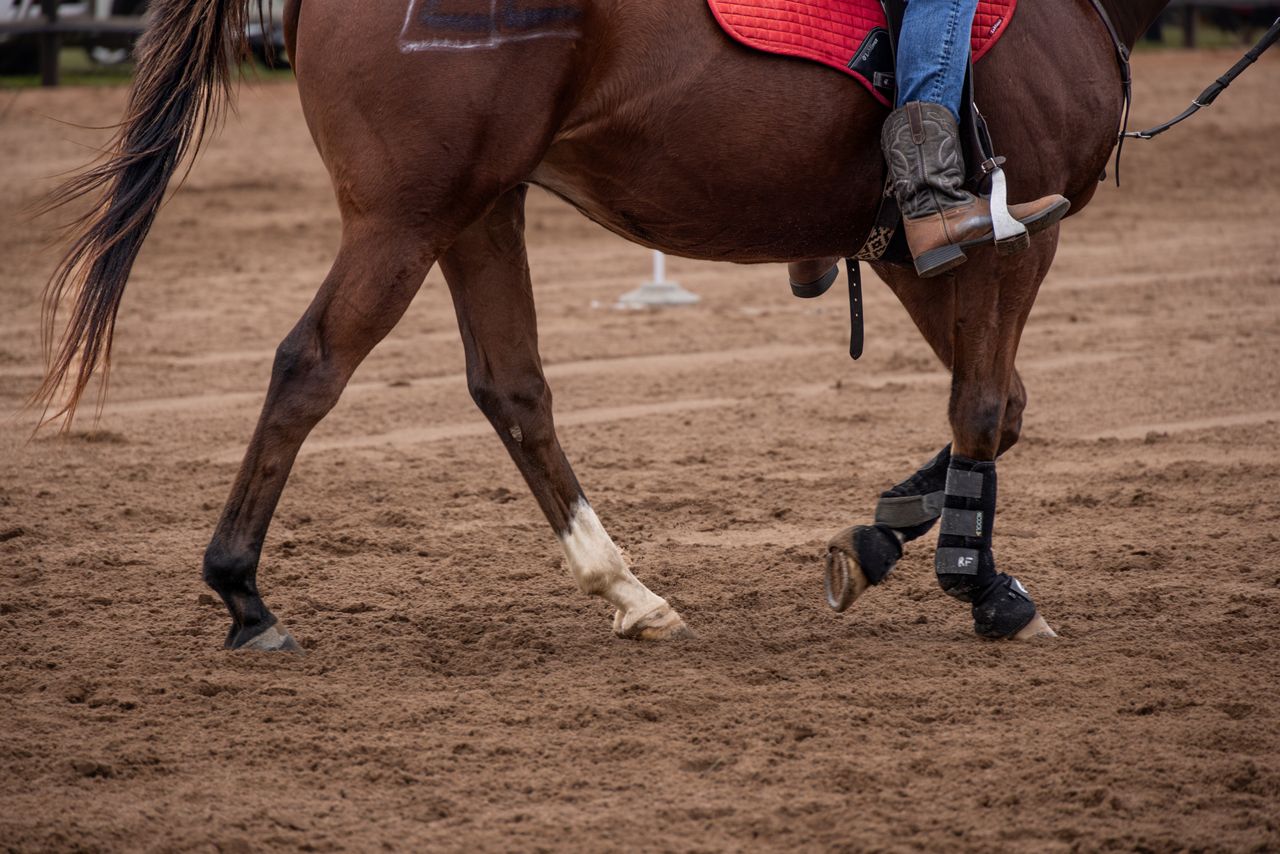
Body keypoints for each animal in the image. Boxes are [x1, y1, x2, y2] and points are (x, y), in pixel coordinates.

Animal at [37, 0, 1170, 650]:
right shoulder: (1006, 237)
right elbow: (983, 408)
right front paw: (982, 589)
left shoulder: (914, 255)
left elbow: (999, 408)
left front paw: (878, 539)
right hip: (407, 216)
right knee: (309, 367)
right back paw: (242, 595)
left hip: (476, 208)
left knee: (511, 386)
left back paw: (625, 588)